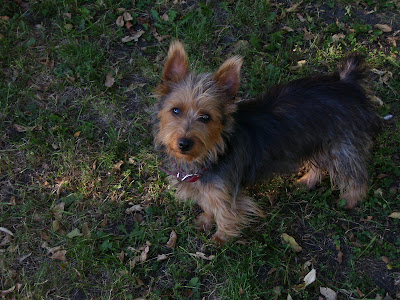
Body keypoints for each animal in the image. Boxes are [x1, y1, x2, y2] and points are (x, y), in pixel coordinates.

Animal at [152, 41, 382, 244]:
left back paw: (351, 199)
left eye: (206, 117)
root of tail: (346, 83)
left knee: (356, 173)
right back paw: (307, 181)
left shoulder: (225, 191)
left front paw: (221, 238)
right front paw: (205, 220)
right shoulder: (208, 188)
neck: (213, 150)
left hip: (341, 145)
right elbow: (208, 204)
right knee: (319, 162)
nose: (184, 143)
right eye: (175, 110)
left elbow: (226, 211)